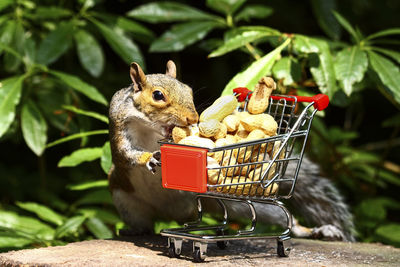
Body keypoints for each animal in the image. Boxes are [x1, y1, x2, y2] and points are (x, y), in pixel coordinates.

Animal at [108, 60, 354, 243]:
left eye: (188, 89)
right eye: (158, 95)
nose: (193, 118)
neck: (150, 127)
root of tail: (176, 214)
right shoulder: (119, 127)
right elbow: (126, 154)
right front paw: (149, 158)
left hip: (245, 203)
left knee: (285, 219)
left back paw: (314, 231)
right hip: (127, 203)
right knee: (144, 225)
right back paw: (135, 230)